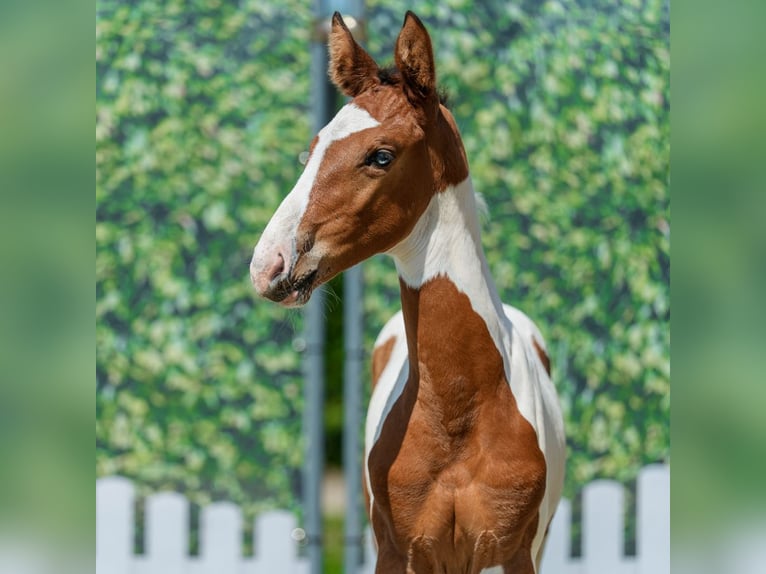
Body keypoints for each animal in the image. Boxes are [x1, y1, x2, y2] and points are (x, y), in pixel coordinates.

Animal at [250, 11, 565, 573]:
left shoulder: (510, 552)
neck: (459, 410)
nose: (268, 265)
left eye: (381, 156)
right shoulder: (398, 550)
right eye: (311, 150)